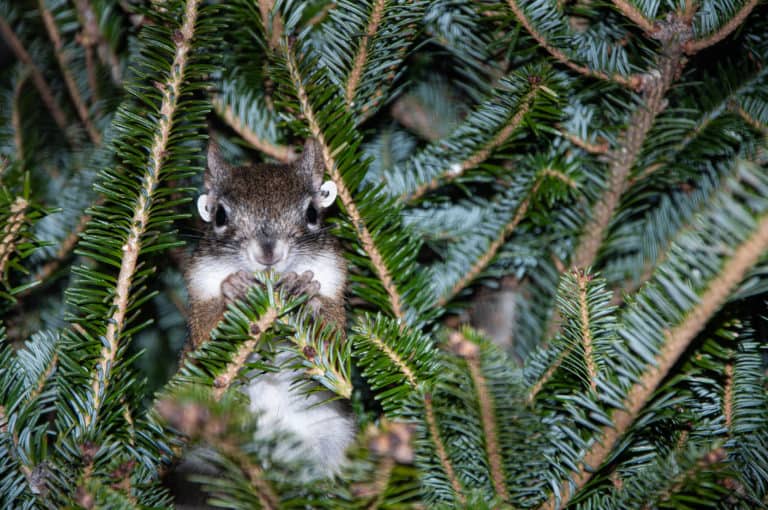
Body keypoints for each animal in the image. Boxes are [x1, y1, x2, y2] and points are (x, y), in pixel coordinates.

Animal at [184, 139, 354, 476]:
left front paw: (307, 294)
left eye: (312, 212)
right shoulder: (199, 287)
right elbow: (206, 337)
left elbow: (332, 340)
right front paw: (233, 290)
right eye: (219, 216)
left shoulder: (334, 281)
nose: (268, 253)